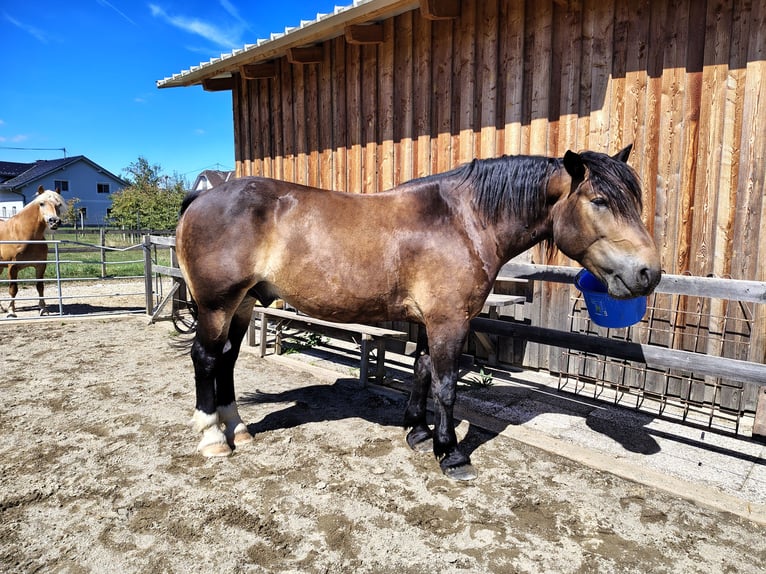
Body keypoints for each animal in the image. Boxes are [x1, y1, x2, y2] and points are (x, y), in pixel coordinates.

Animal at [0, 186, 63, 317]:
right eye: (41, 203)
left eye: (58, 204)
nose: (54, 221)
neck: (23, 234)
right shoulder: (12, 267)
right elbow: (13, 289)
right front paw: (11, 311)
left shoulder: (40, 265)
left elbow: (40, 286)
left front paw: (43, 309)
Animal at [175, 144, 661, 480]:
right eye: (599, 200)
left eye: (633, 201)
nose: (648, 273)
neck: (464, 221)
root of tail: (201, 198)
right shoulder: (450, 320)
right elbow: (446, 384)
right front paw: (451, 451)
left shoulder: (431, 320)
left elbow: (422, 370)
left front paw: (418, 431)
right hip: (218, 305)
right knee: (206, 359)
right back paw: (213, 437)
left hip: (244, 304)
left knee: (227, 361)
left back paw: (237, 429)